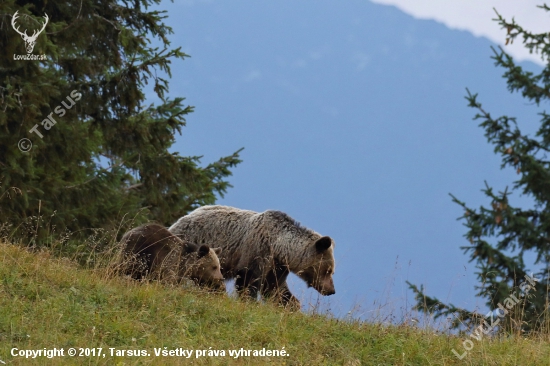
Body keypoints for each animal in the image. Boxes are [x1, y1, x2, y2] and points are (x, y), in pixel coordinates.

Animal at [170, 206, 336, 308]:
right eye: (328, 270)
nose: (331, 290)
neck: (279, 246)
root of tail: (176, 223)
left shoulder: (276, 266)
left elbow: (274, 288)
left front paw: (290, 304)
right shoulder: (257, 250)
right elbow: (248, 280)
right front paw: (249, 301)